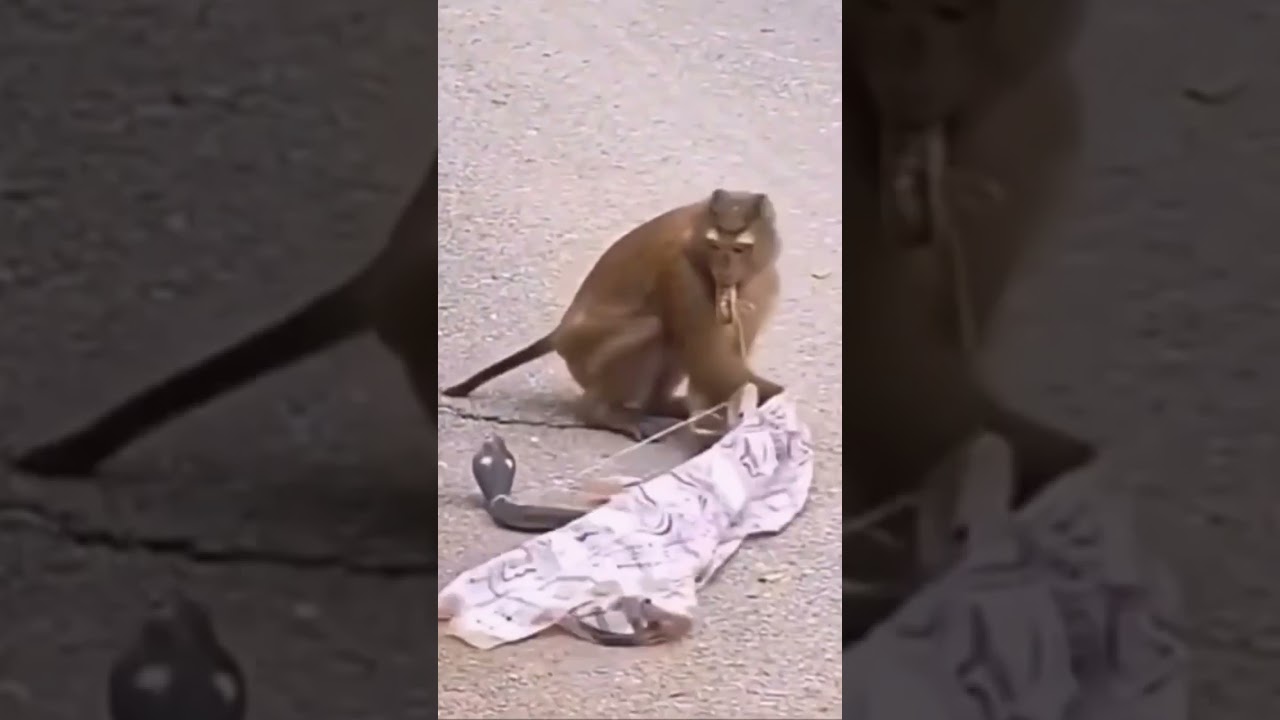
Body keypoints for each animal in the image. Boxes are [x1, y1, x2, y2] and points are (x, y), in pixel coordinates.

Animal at [441, 189, 783, 442]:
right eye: (715, 245)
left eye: (738, 249)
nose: (723, 271)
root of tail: (561, 333)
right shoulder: (681, 272)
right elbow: (708, 359)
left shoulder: (764, 284)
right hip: (584, 357)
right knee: (653, 328)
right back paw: (600, 413)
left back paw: (659, 404)